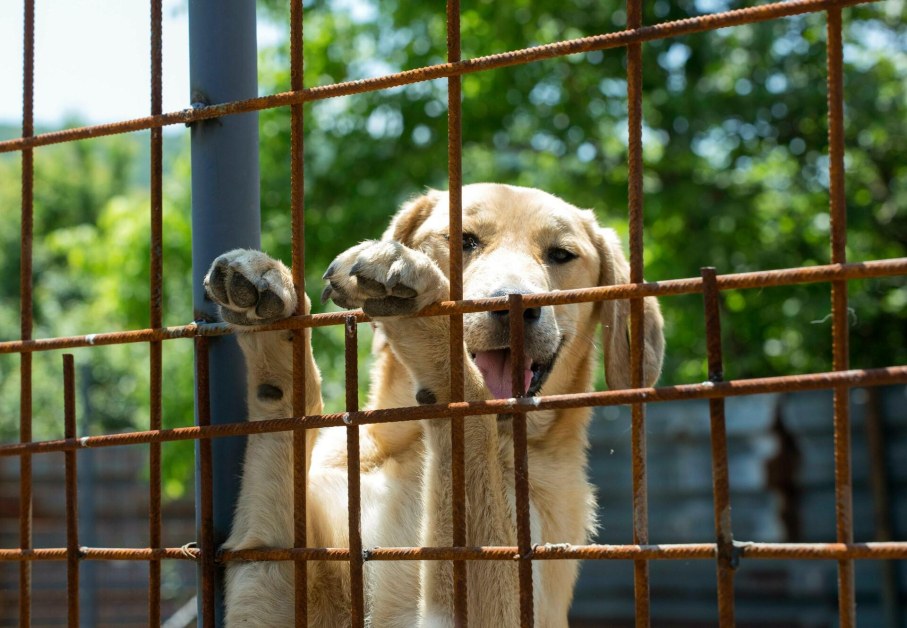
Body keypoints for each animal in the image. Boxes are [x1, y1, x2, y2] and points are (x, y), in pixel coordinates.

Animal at [206, 180, 664, 624]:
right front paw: (270, 290)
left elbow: (469, 401)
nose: (516, 308)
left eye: (561, 254)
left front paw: (423, 305)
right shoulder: (269, 574)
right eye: (464, 239)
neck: (407, 446)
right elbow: (284, 408)